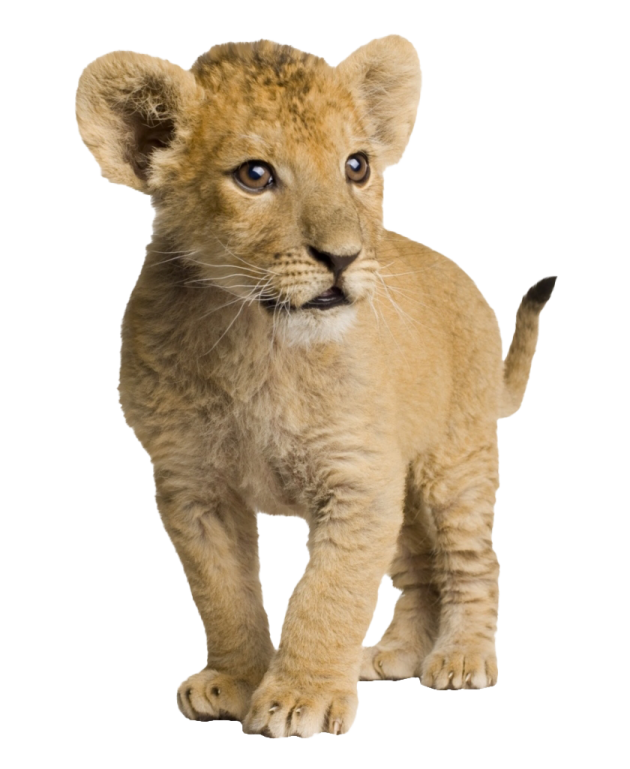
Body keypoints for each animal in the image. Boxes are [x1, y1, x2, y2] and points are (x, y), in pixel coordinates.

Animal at [75, 36, 556, 737]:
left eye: (356, 166)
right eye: (255, 175)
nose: (344, 257)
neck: (257, 341)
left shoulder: (358, 480)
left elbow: (328, 593)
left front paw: (299, 698)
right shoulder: (192, 485)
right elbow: (224, 592)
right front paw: (236, 682)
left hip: (452, 462)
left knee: (472, 562)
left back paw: (462, 659)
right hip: (404, 492)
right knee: (420, 571)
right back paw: (391, 657)